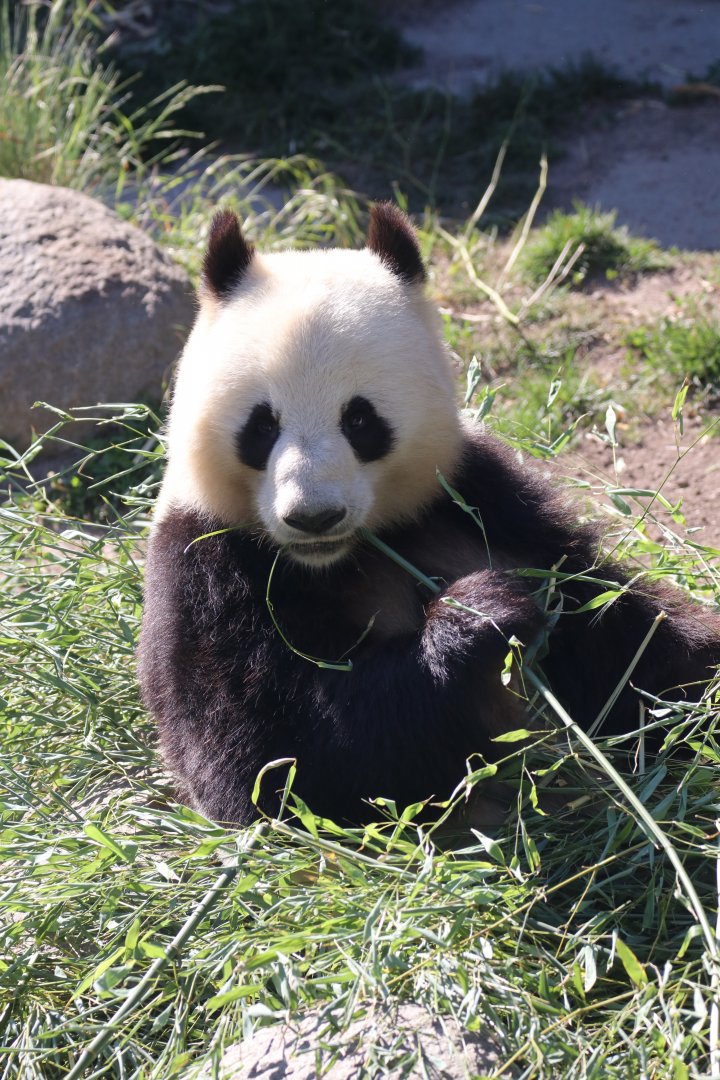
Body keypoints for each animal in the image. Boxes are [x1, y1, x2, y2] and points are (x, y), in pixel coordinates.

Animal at [138, 202, 720, 827]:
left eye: (360, 420)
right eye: (262, 425)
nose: (314, 516)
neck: (341, 557)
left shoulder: (475, 501)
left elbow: (617, 631)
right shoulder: (205, 562)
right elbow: (264, 758)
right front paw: (481, 614)